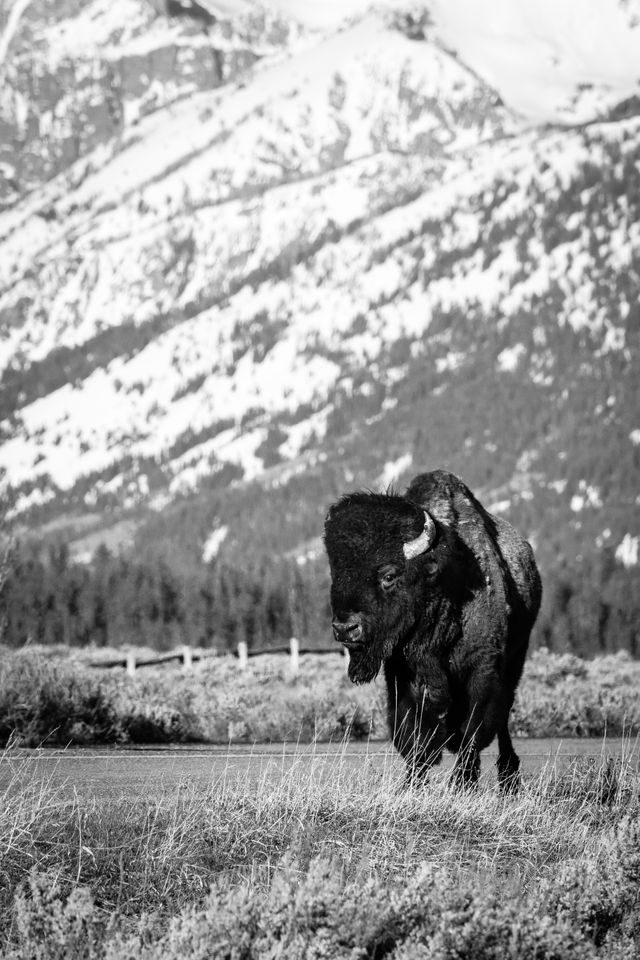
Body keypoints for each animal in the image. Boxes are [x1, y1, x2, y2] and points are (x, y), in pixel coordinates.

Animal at [324, 468, 540, 792]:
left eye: (389, 575)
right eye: (336, 575)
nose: (345, 628)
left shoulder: (482, 671)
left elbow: (472, 732)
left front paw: (462, 783)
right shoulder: (402, 677)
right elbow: (412, 737)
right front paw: (411, 784)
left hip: (516, 660)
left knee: (502, 720)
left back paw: (508, 776)